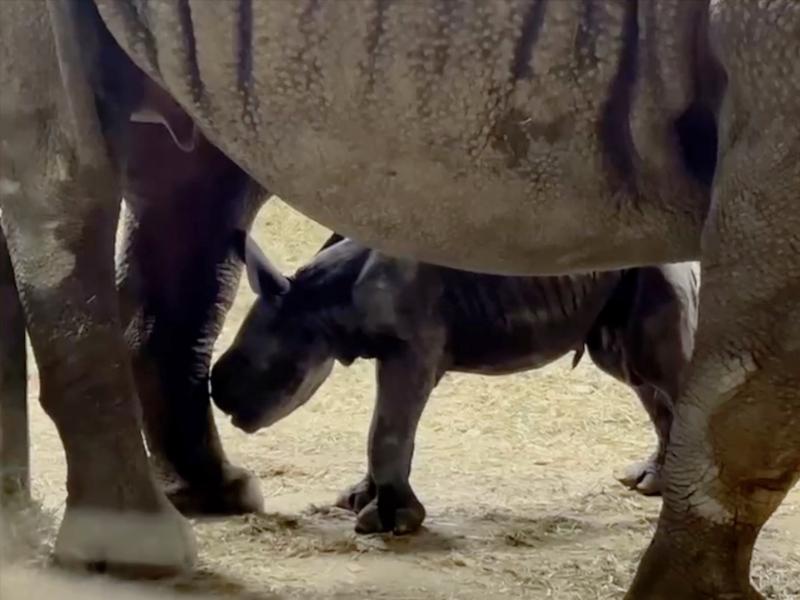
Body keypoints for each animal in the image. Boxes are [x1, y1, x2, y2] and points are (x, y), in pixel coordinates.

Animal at [212, 233, 700, 536]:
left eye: (262, 369)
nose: (219, 395)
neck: (320, 301)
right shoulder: (393, 351)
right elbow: (386, 424)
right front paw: (357, 499)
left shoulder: (413, 349)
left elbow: (386, 431)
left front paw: (387, 524)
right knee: (637, 376)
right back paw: (653, 484)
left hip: (653, 271)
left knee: (658, 372)